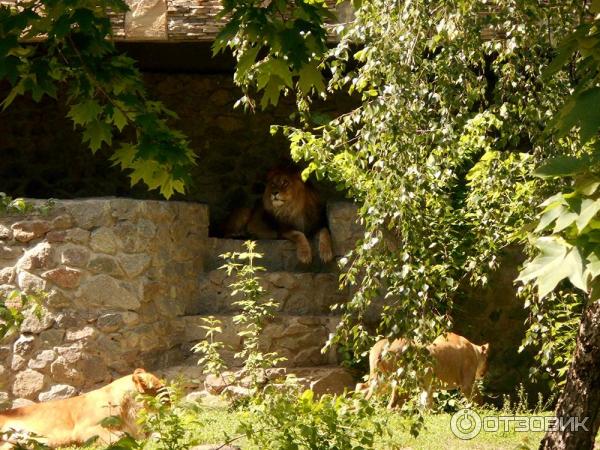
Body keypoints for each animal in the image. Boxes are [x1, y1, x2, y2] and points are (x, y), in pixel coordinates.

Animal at [356, 332, 488, 410]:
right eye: (487, 358)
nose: (484, 373)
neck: (474, 350)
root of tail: (383, 345)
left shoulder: (428, 385)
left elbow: (426, 401)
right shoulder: (467, 383)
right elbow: (476, 398)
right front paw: (481, 410)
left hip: (381, 378)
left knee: (361, 386)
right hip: (401, 380)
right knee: (392, 404)